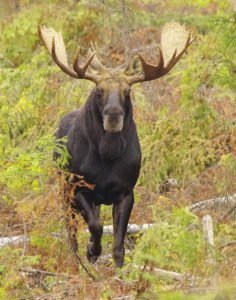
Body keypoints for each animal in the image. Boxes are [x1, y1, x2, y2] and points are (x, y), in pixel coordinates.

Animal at [38, 23, 194, 268]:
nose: (113, 116)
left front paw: (119, 269)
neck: (108, 155)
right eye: (99, 91)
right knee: (71, 231)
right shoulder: (79, 188)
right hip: (63, 189)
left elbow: (119, 243)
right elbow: (96, 226)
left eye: (127, 91)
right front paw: (92, 251)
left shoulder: (126, 192)